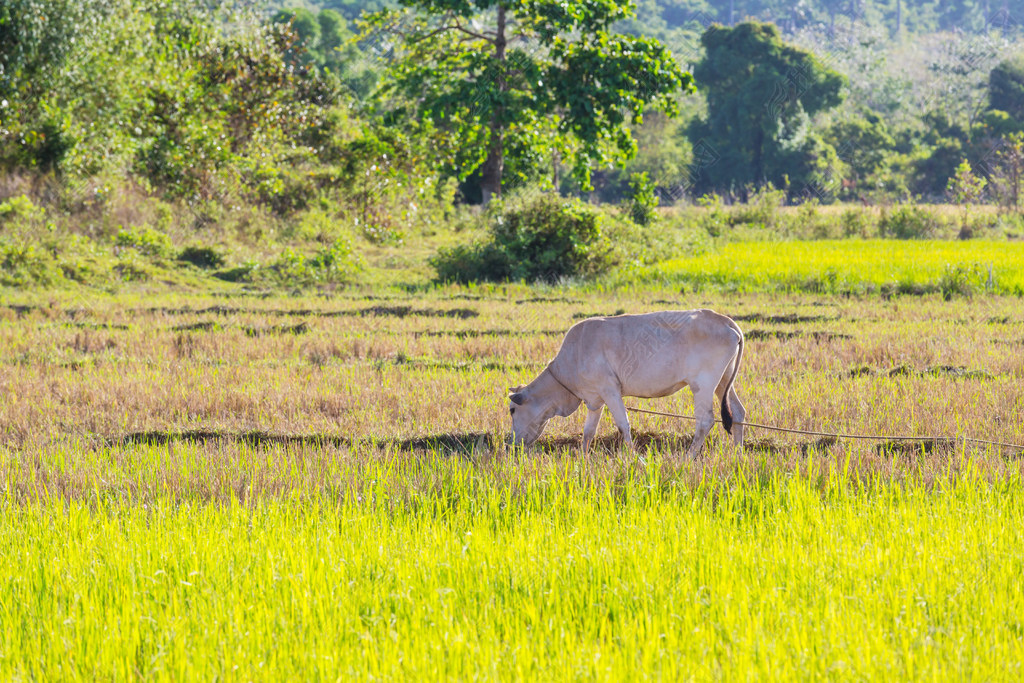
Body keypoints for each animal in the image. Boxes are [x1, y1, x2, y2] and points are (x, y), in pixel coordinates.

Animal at [509, 309, 745, 458]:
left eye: (512, 410)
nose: (511, 444)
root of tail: (724, 320)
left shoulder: (610, 390)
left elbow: (623, 425)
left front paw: (632, 457)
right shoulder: (595, 399)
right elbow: (588, 432)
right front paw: (583, 459)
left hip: (703, 385)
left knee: (705, 421)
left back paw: (686, 458)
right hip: (724, 383)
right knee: (738, 412)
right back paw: (737, 456)